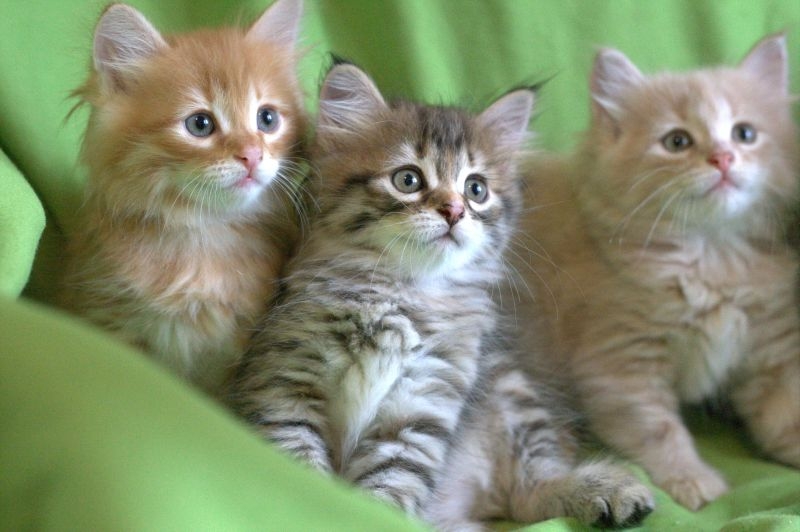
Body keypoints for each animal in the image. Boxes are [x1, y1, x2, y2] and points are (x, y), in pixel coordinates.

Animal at [62, 0, 308, 396]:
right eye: (200, 125)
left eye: (267, 119)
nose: (252, 155)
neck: (204, 238)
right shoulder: (106, 317)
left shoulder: (229, 355)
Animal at [230, 61, 654, 530]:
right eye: (408, 179)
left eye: (476, 189)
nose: (454, 211)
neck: (401, 293)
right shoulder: (286, 385)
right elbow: (301, 471)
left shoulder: (420, 406)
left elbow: (392, 487)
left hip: (512, 392)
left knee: (530, 494)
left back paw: (606, 491)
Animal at [509, 34, 800, 510]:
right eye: (677, 141)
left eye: (745, 133)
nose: (723, 158)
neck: (710, 254)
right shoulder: (621, 360)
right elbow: (658, 429)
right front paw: (692, 479)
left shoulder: (770, 349)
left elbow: (786, 413)